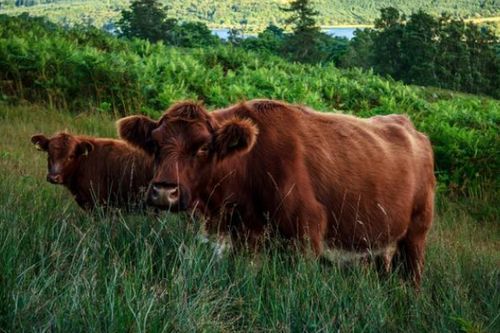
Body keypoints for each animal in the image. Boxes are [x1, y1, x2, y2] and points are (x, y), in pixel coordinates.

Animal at [119, 99, 436, 286]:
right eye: (155, 144)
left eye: (203, 147)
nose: (164, 191)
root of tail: (413, 129)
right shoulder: (244, 238)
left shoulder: (307, 235)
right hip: (382, 244)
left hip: (416, 236)